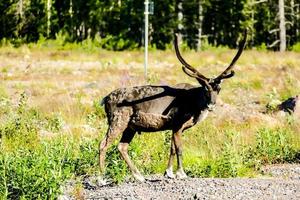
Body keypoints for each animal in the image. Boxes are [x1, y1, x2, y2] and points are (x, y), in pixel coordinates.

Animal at [98, 30, 246, 181]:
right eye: (205, 88)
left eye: (219, 89)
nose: (211, 105)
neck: (195, 102)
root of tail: (105, 99)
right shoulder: (177, 123)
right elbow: (179, 149)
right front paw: (181, 173)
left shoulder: (176, 127)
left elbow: (172, 148)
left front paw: (168, 172)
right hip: (118, 120)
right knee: (103, 144)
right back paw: (101, 179)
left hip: (130, 126)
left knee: (122, 146)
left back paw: (139, 176)